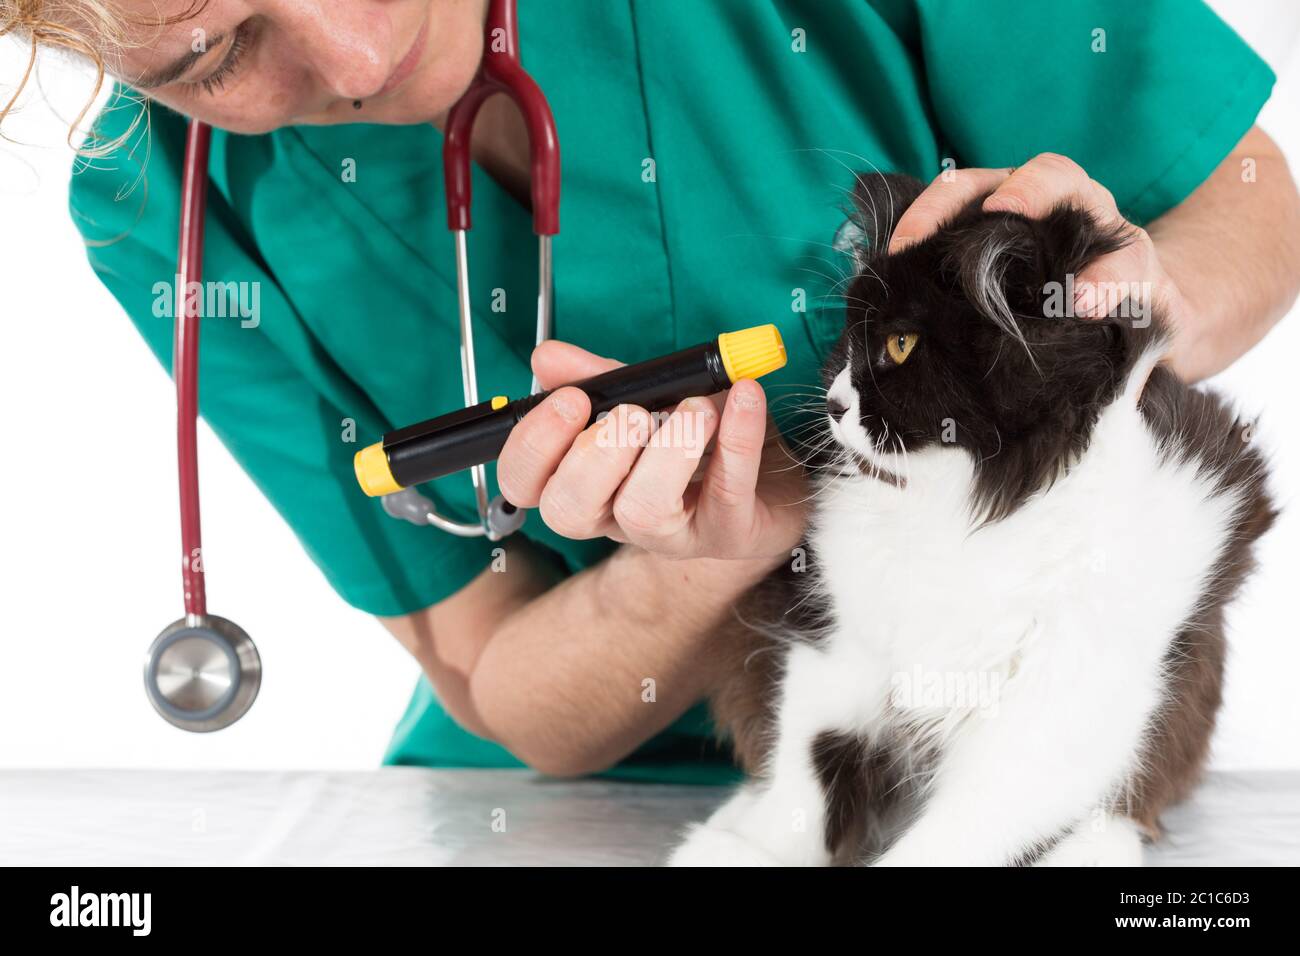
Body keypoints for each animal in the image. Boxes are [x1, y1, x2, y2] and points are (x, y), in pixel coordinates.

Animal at [676, 171, 1274, 868]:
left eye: (900, 344)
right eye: (848, 341)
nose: (833, 402)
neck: (967, 510)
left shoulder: (1061, 707)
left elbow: (955, 833)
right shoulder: (842, 647)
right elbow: (806, 781)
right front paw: (747, 849)